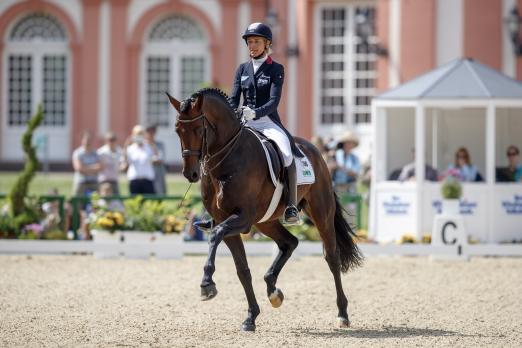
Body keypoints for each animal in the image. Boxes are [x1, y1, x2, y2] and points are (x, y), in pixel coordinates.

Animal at [165, 87, 360, 332]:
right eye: (177, 130)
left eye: (199, 129)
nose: (190, 174)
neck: (227, 159)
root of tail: (316, 151)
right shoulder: (227, 221)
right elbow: (242, 270)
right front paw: (251, 317)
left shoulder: (242, 218)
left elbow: (214, 236)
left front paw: (207, 284)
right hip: (266, 221)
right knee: (289, 243)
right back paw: (273, 291)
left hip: (320, 213)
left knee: (332, 257)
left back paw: (342, 314)